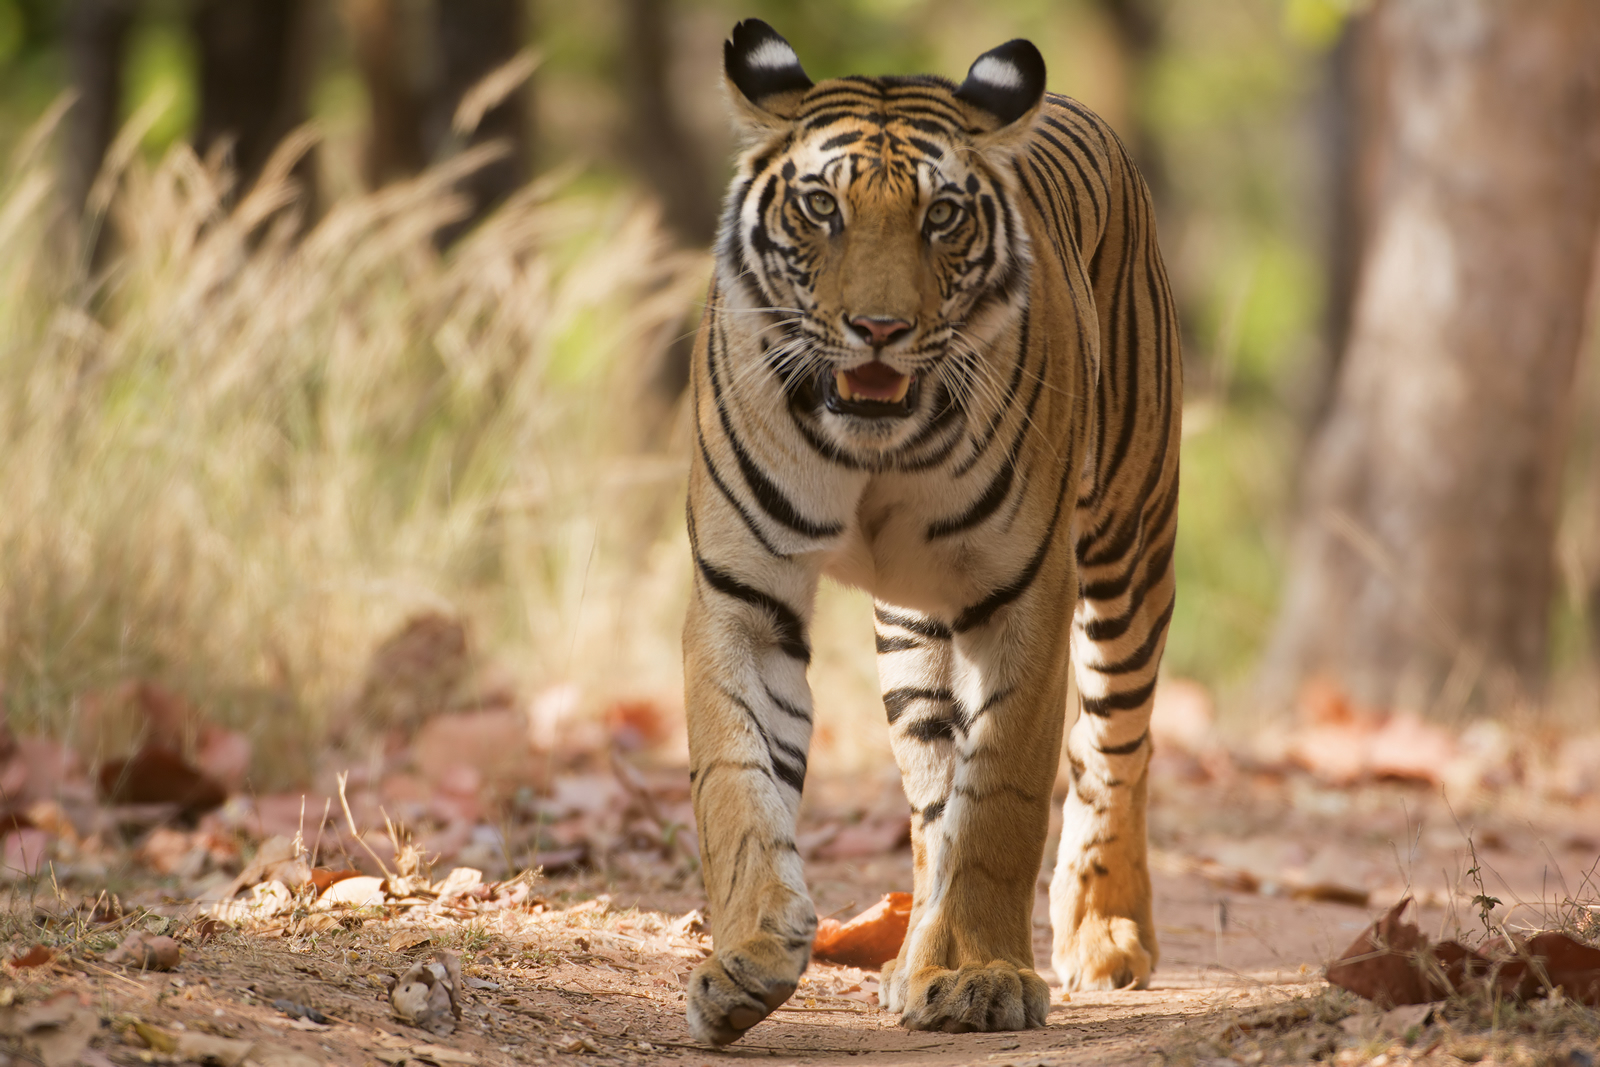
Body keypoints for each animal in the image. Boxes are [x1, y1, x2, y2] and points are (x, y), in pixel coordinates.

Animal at [681, 20, 1184, 1049]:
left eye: (942, 216)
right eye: (821, 207)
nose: (878, 327)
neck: (872, 446)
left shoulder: (1022, 590)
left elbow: (1002, 796)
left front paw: (980, 976)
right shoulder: (739, 591)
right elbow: (737, 780)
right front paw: (743, 962)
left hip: (1129, 553)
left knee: (1115, 751)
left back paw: (1105, 936)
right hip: (912, 632)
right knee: (927, 796)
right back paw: (909, 954)